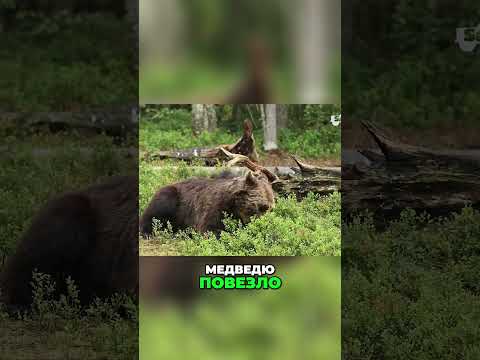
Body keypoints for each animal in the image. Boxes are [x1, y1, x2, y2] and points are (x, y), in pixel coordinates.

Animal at [139, 172, 274, 236]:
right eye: (262, 207)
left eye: (271, 208)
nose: (264, 225)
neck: (235, 207)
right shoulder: (215, 207)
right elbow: (210, 228)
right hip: (173, 198)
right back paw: (148, 232)